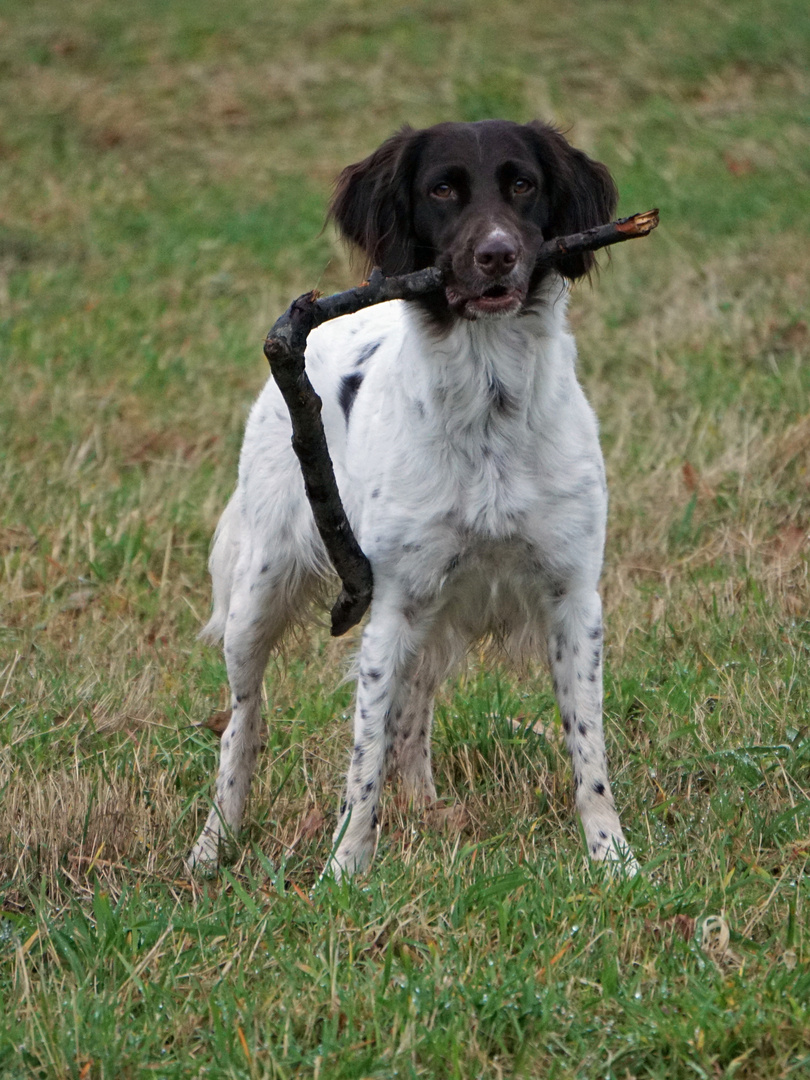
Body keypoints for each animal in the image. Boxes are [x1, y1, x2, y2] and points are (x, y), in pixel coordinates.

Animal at [192, 118, 639, 876]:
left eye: (523, 184)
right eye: (442, 190)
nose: (497, 254)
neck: (489, 404)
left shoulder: (573, 596)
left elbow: (589, 750)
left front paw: (613, 859)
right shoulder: (393, 605)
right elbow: (362, 758)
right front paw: (345, 870)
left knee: (415, 708)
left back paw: (427, 810)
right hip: (259, 593)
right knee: (243, 724)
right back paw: (212, 843)